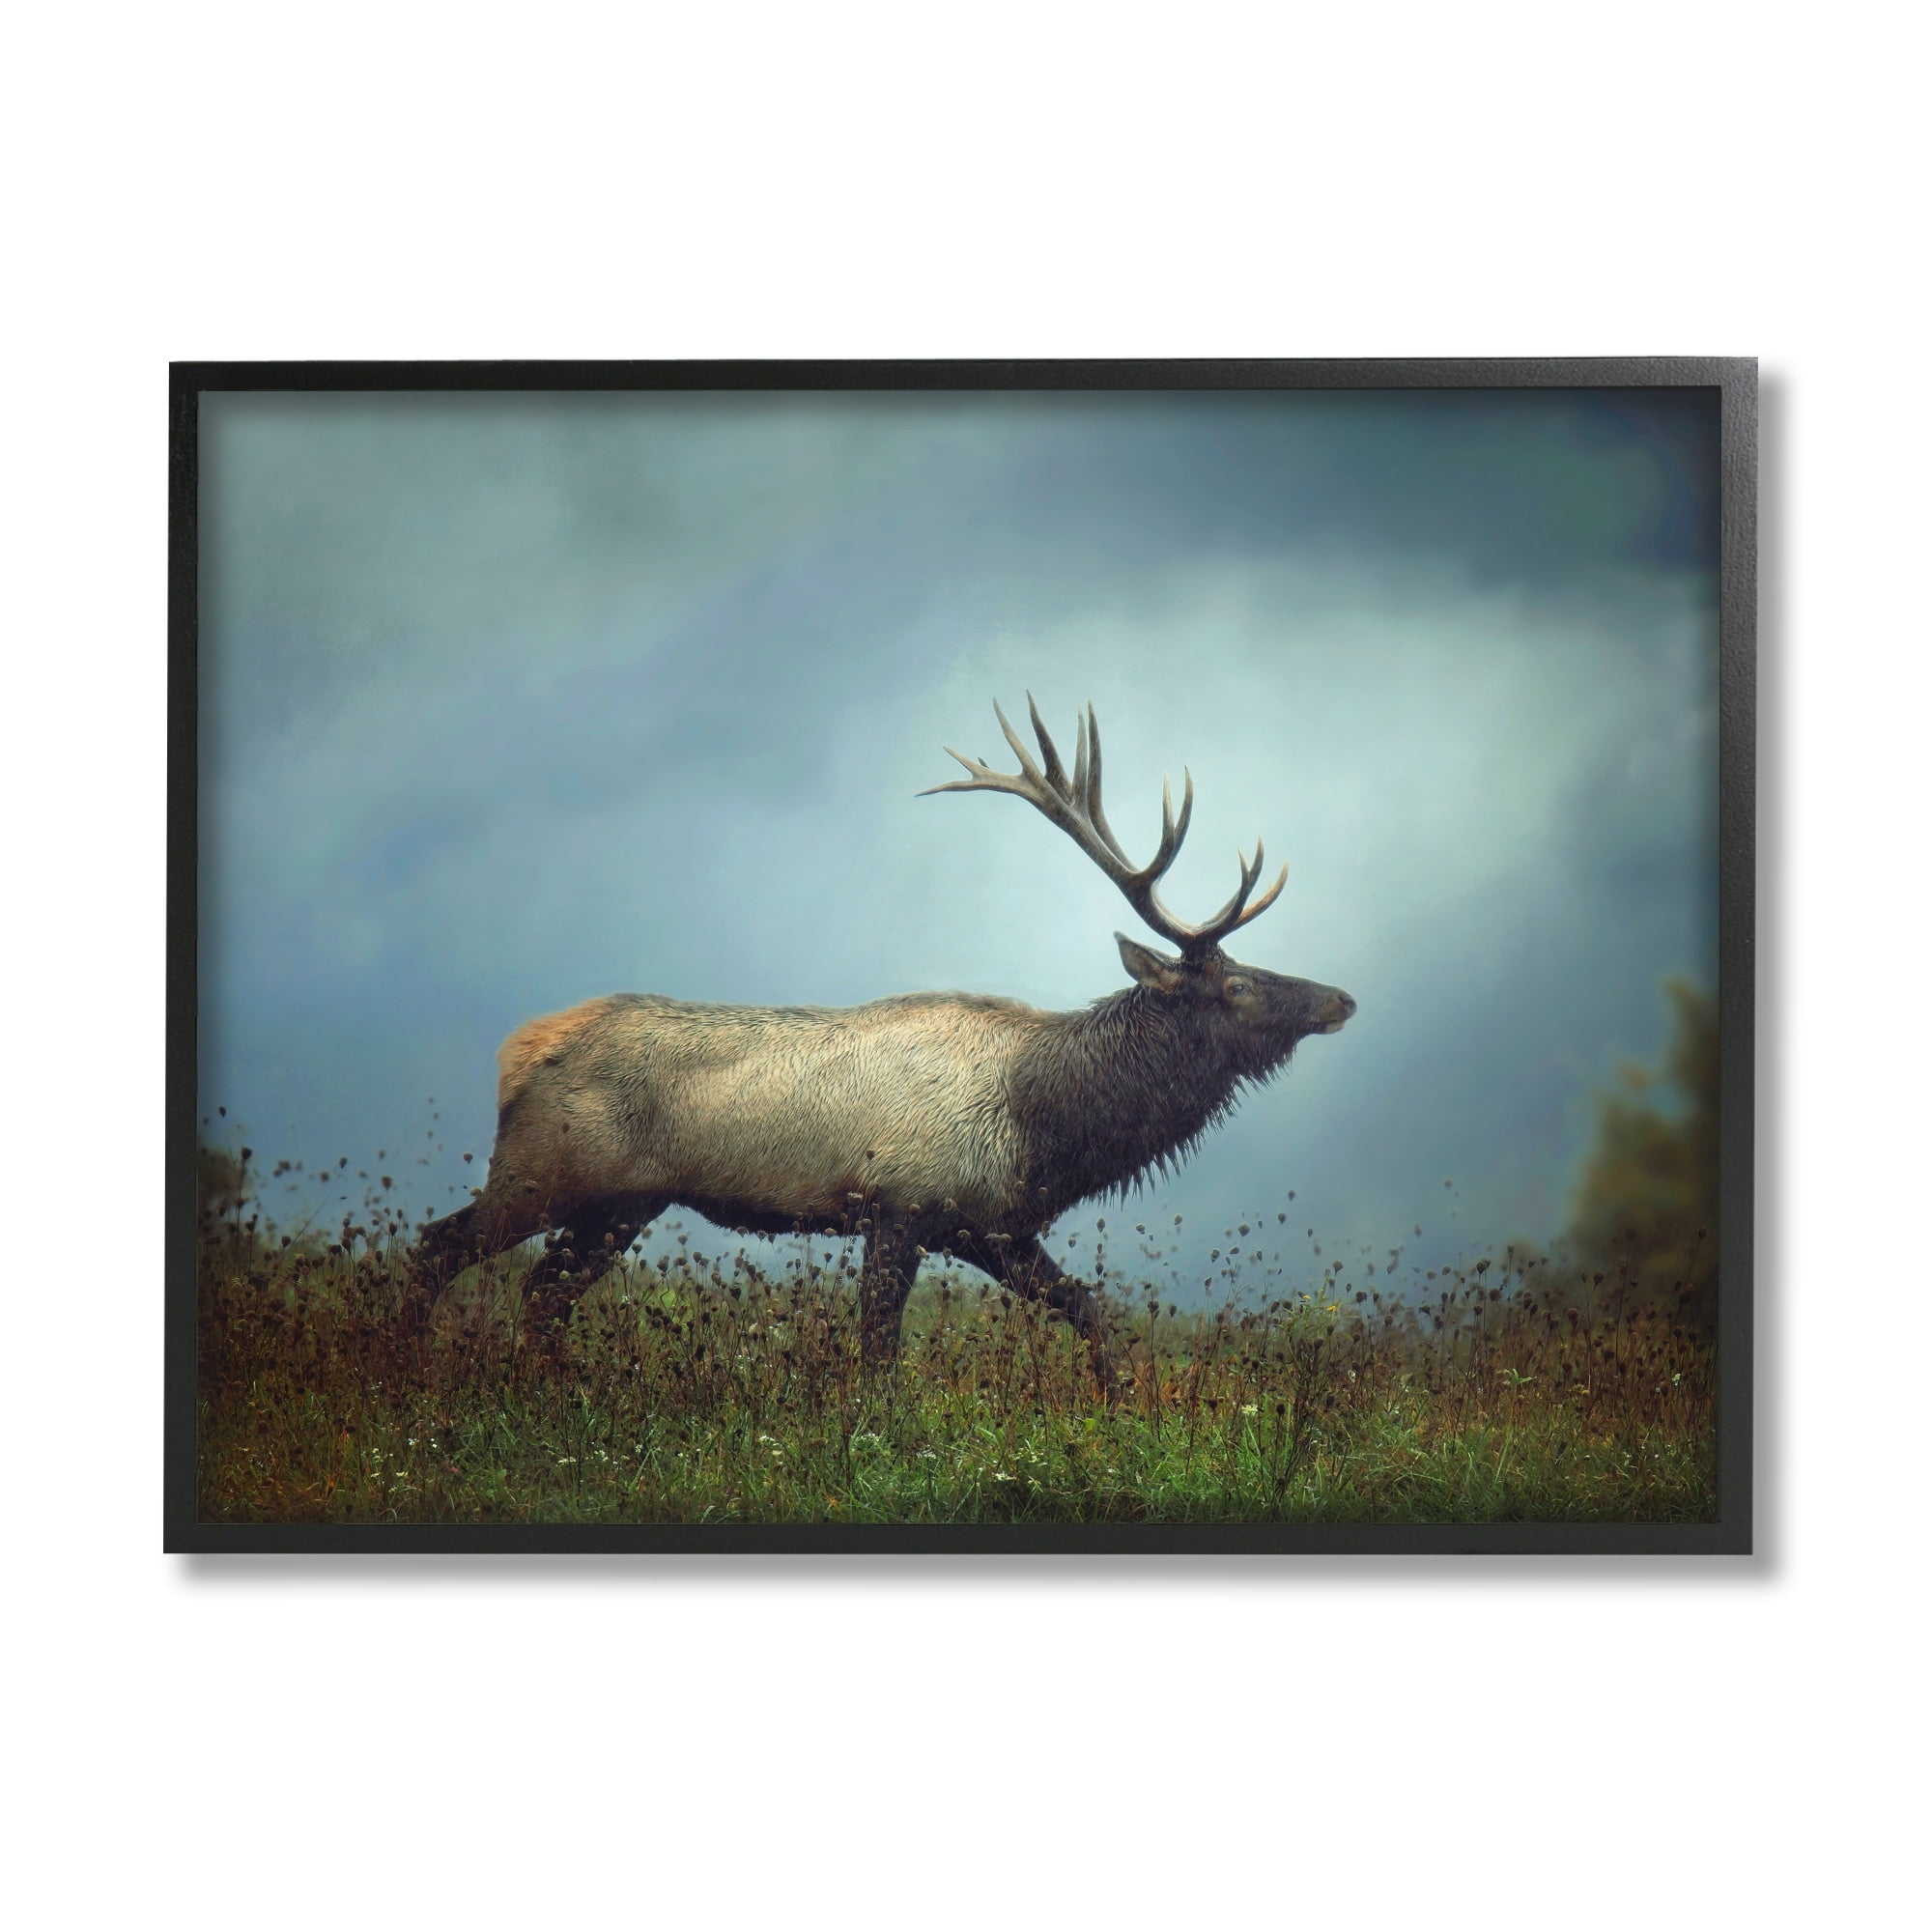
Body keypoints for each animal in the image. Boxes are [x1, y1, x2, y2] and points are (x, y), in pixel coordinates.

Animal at [409, 697, 1356, 1387]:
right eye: (1236, 984)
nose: (1341, 998)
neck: (1045, 1127)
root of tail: (516, 1055)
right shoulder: (900, 1205)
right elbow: (877, 1353)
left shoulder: (991, 1228)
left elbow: (1090, 1311)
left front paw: (1118, 1406)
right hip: (542, 1172)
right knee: (437, 1248)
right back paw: (403, 1370)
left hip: (619, 1205)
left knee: (541, 1295)